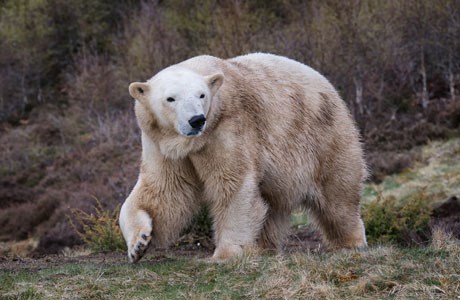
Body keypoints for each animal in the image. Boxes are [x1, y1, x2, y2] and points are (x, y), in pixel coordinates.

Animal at [120, 53, 368, 262]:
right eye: (171, 98)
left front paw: (227, 253)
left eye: (201, 94)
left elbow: (233, 183)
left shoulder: (227, 128)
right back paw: (264, 247)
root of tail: (328, 85)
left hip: (324, 137)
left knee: (337, 196)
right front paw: (138, 244)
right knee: (271, 203)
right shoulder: (161, 144)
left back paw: (350, 241)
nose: (197, 120)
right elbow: (164, 190)